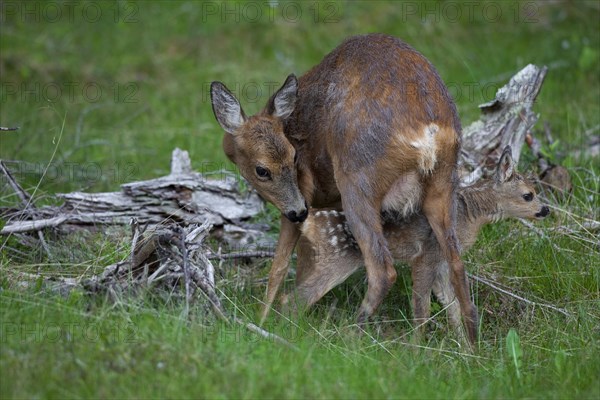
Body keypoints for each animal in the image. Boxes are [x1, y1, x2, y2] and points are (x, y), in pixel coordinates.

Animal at [209, 32, 476, 342]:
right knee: (456, 264)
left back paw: (351, 337)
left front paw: (262, 321)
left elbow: (281, 264)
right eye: (263, 170)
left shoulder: (304, 197)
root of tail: (429, 131)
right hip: (443, 186)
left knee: (383, 270)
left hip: (357, 180)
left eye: (294, 158)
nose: (298, 211)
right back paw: (469, 345)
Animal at [284, 147, 552, 340]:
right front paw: (419, 352)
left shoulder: (442, 261)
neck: (470, 214)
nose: (546, 210)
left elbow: (452, 305)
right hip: (337, 257)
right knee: (294, 299)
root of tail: (308, 219)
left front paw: (464, 349)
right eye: (528, 195)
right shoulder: (428, 253)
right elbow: (422, 309)